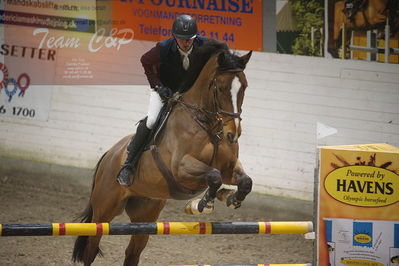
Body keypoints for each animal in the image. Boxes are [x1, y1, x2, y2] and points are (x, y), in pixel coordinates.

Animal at [72, 42, 253, 266]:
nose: (232, 134)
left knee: (132, 252)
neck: (208, 125)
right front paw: (201, 204)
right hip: (103, 211)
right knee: (91, 248)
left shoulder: (229, 167)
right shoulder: (181, 168)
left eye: (244, 87)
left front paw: (230, 197)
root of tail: (108, 154)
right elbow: (213, 176)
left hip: (145, 214)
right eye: (220, 88)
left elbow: (244, 181)